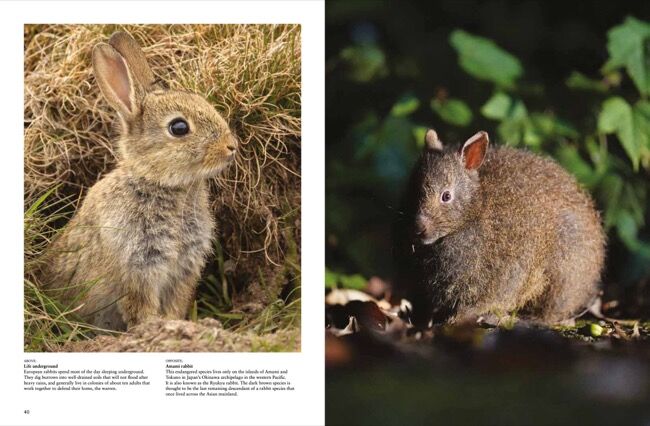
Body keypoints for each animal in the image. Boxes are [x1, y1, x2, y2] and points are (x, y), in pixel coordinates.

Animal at [42, 32, 237, 331]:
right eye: (179, 128)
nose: (231, 146)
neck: (159, 183)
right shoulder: (137, 266)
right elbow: (140, 307)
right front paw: (153, 328)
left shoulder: (184, 270)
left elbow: (175, 304)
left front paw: (174, 324)